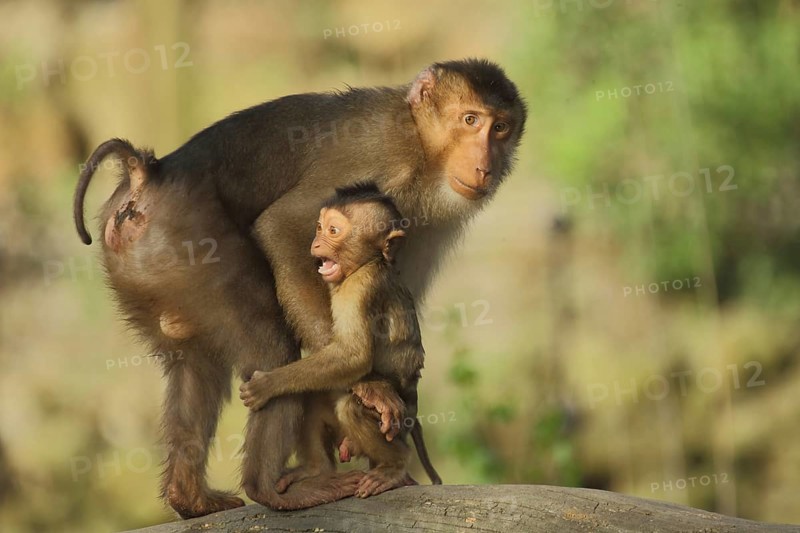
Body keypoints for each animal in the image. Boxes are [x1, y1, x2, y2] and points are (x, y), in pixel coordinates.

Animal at [239, 183, 442, 497]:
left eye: (333, 231)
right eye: (319, 227)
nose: (316, 243)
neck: (366, 263)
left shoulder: (359, 287)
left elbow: (354, 355)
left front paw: (266, 384)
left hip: (397, 428)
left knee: (351, 408)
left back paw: (394, 468)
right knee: (312, 393)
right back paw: (317, 469)